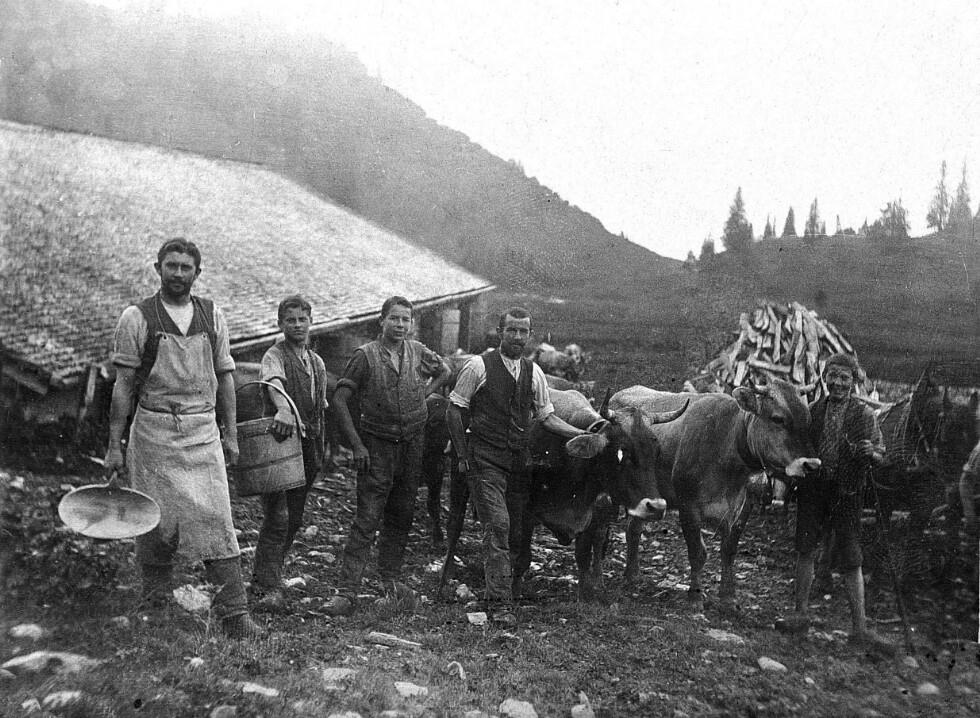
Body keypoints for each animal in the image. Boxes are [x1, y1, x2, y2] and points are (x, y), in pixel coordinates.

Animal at [512, 388, 688, 600]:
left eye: (657, 452)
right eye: (622, 452)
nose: (657, 507)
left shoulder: (591, 516)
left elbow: (583, 556)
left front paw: (586, 592)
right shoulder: (525, 511)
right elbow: (522, 557)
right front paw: (515, 591)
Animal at [610, 379, 821, 611]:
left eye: (808, 419)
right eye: (778, 418)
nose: (812, 465)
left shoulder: (744, 506)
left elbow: (729, 550)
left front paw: (728, 597)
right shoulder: (687, 505)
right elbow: (698, 552)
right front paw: (695, 597)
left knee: (633, 529)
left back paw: (632, 574)